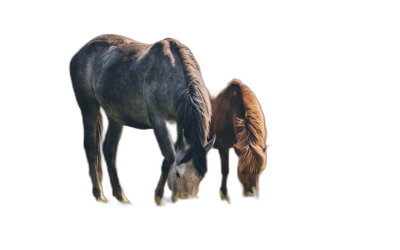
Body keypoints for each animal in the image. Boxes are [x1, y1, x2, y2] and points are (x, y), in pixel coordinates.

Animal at [69, 33, 216, 205]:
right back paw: (99, 194)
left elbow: (169, 159)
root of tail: (80, 52)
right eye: (178, 173)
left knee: (109, 150)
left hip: (115, 116)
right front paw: (158, 197)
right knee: (92, 148)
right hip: (89, 108)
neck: (168, 74)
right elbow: (170, 157)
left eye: (201, 177)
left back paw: (120, 196)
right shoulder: (158, 122)